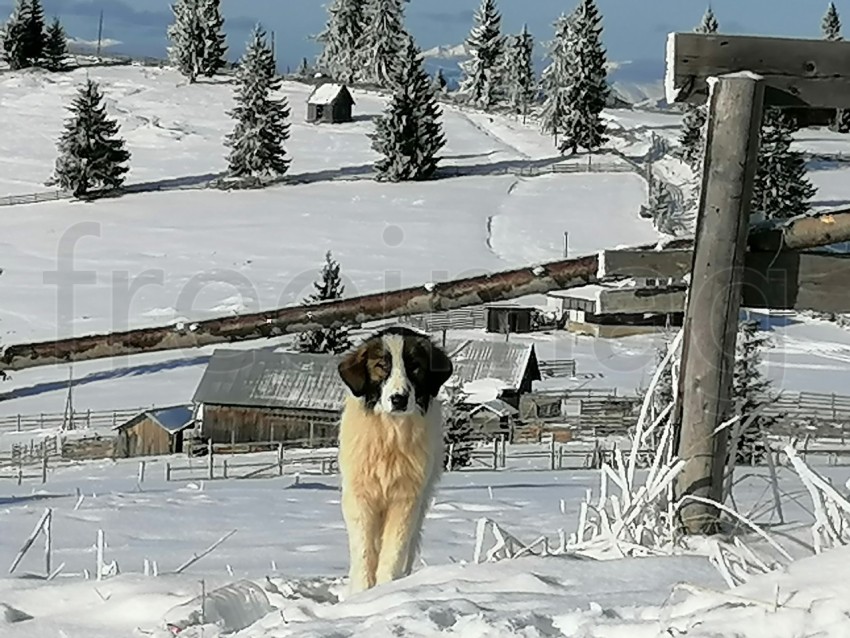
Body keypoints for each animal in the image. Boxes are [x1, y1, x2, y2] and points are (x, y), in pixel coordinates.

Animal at [334, 328, 454, 596]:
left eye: (415, 366)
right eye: (381, 366)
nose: (399, 399)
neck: (390, 434)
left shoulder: (406, 498)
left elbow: (394, 550)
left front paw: (387, 588)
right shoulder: (360, 497)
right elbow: (364, 550)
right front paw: (362, 593)